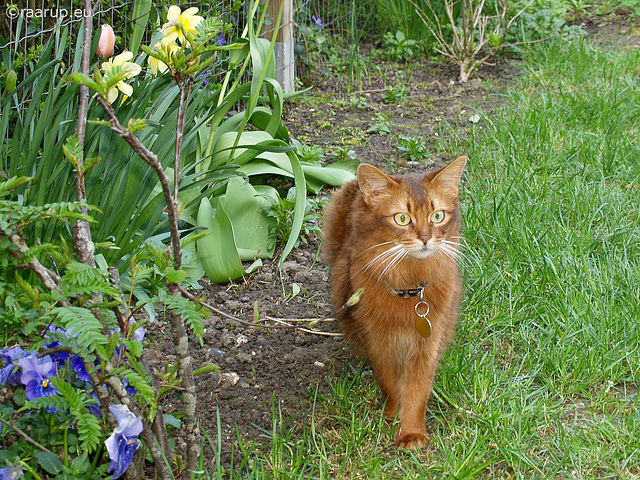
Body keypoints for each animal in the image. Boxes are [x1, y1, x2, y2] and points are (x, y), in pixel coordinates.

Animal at [322, 158, 468, 446]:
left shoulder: (428, 346)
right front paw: (390, 419)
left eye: (438, 216)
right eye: (402, 218)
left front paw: (411, 434)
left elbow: (418, 392)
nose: (425, 238)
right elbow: (389, 384)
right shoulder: (377, 342)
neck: (409, 291)